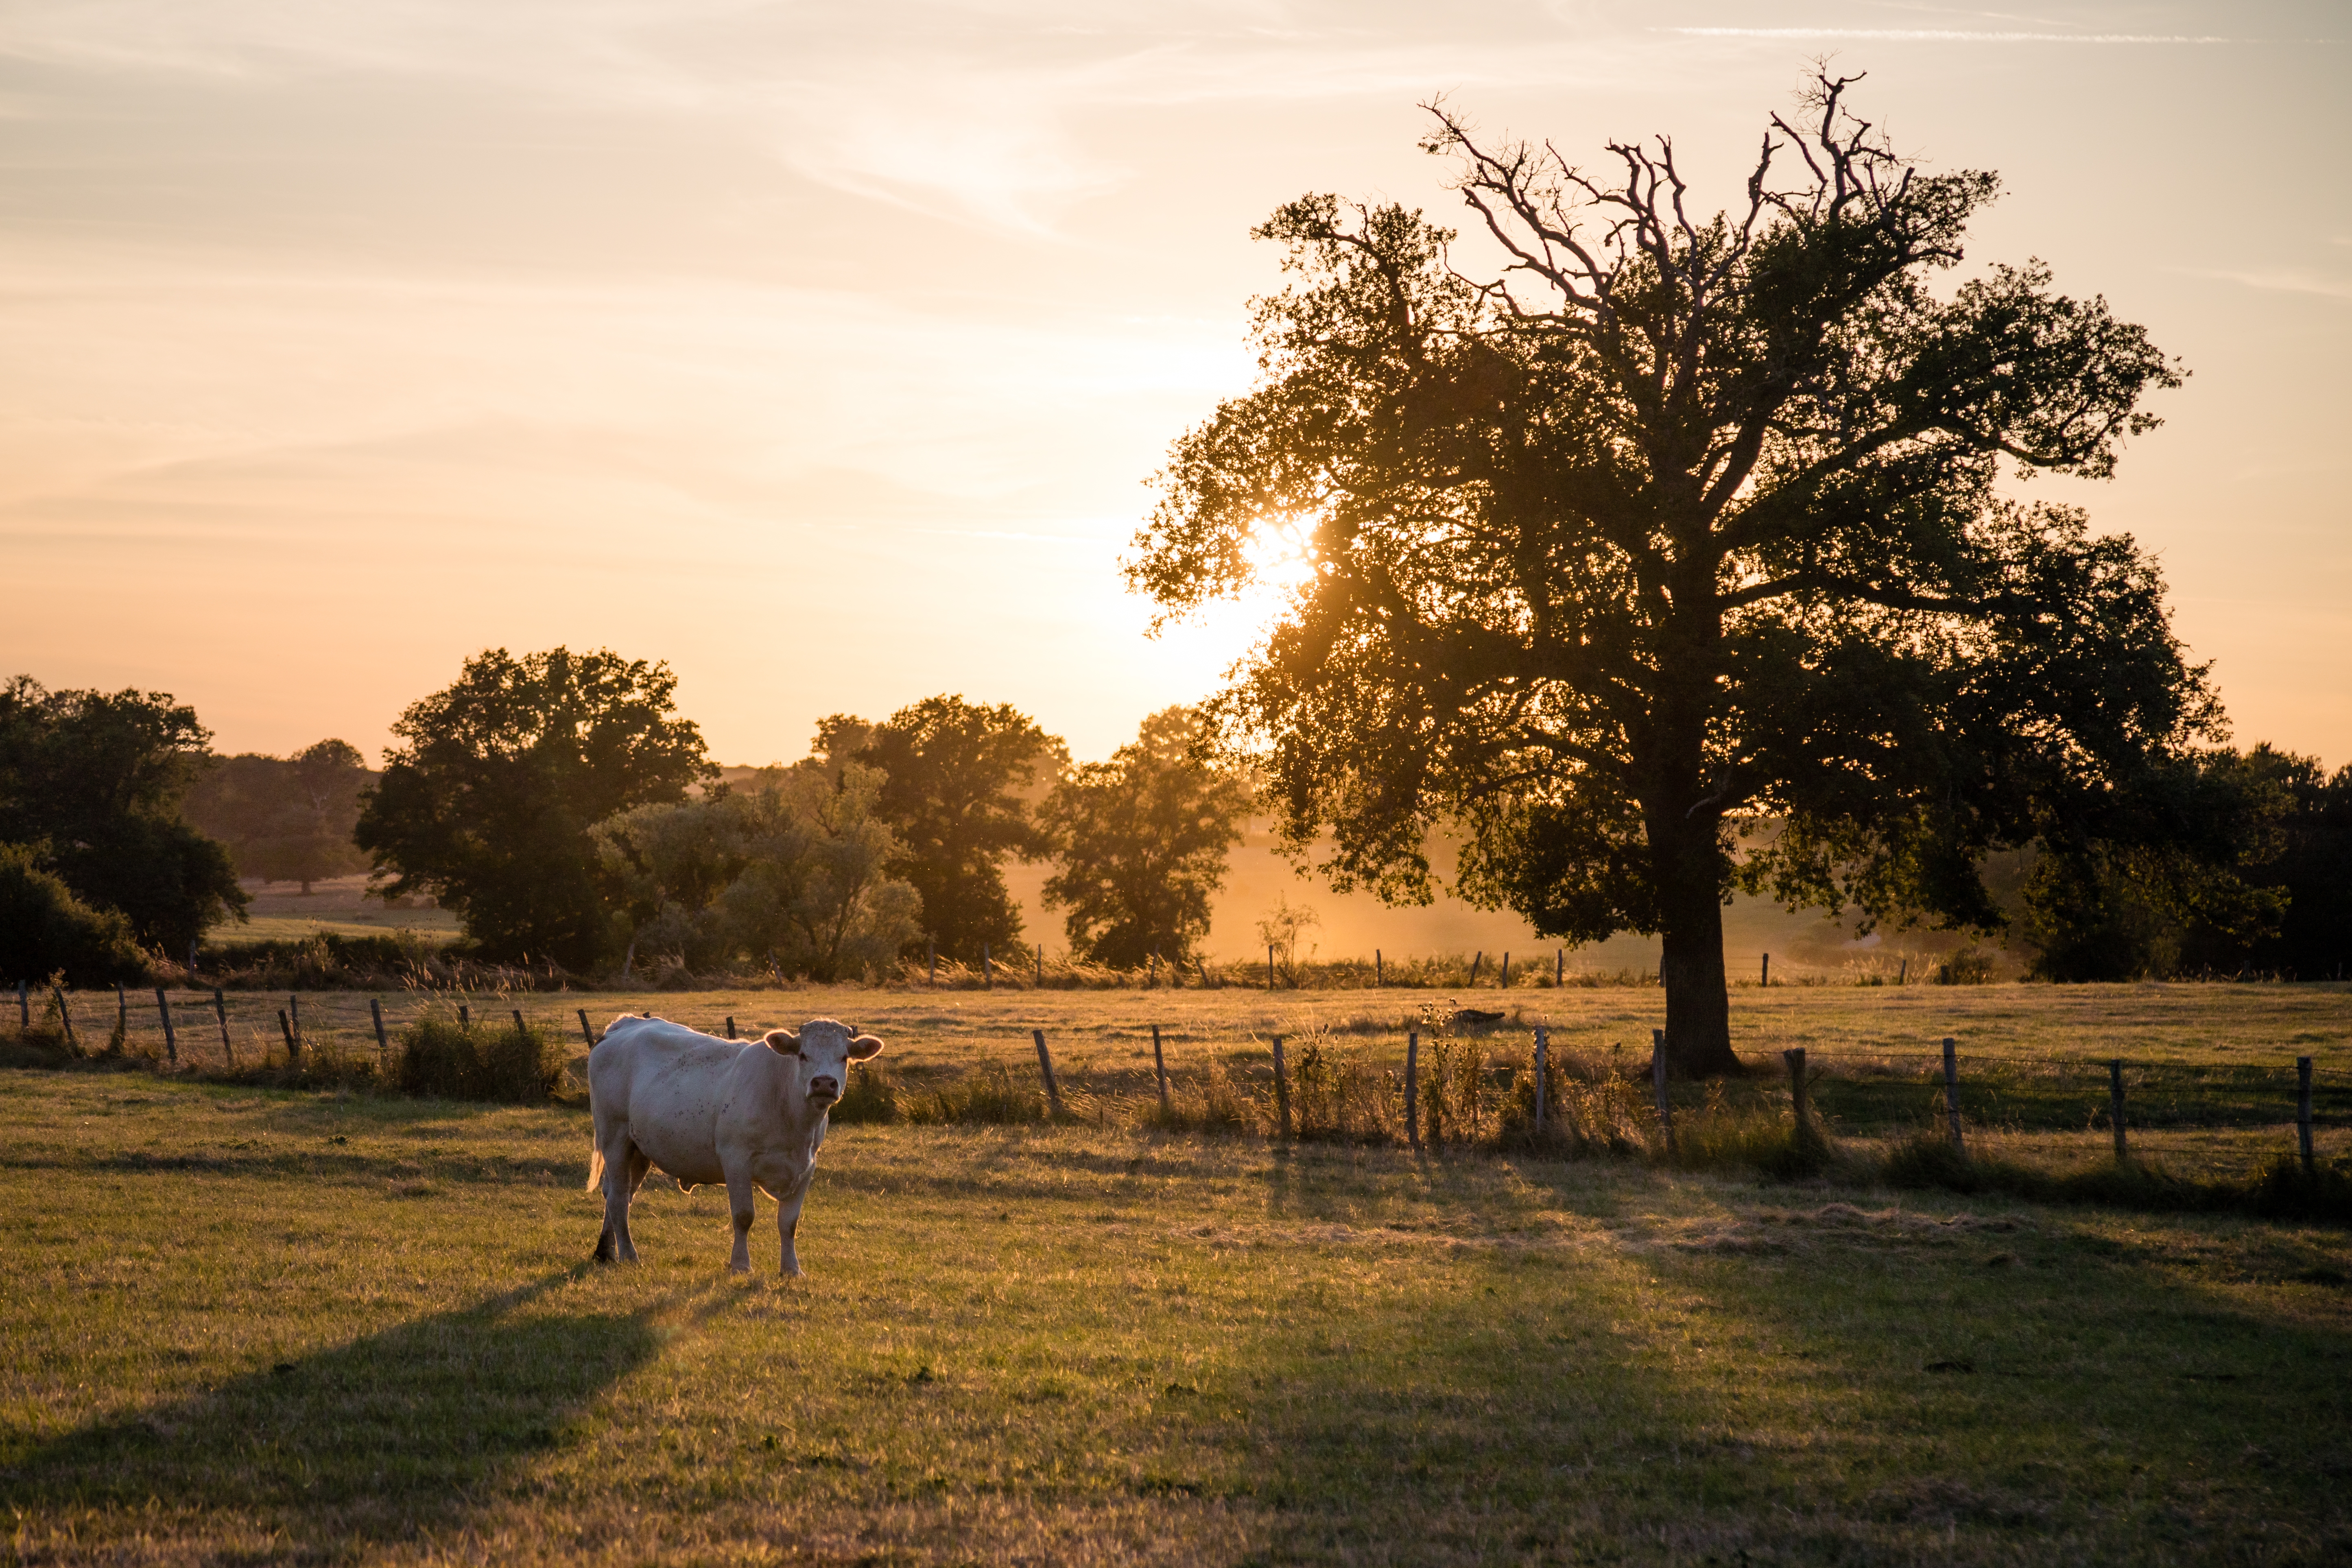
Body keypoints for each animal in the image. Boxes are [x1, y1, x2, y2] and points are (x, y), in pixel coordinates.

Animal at [584, 1014, 883, 1275]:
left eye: (844, 1057)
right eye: (803, 1055)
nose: (823, 1083)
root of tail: (626, 1023)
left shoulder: (806, 1167)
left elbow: (789, 1224)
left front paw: (791, 1269)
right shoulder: (736, 1160)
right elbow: (744, 1216)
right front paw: (740, 1265)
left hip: (638, 1150)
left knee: (619, 1195)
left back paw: (605, 1252)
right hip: (615, 1138)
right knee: (619, 1198)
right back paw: (629, 1255)